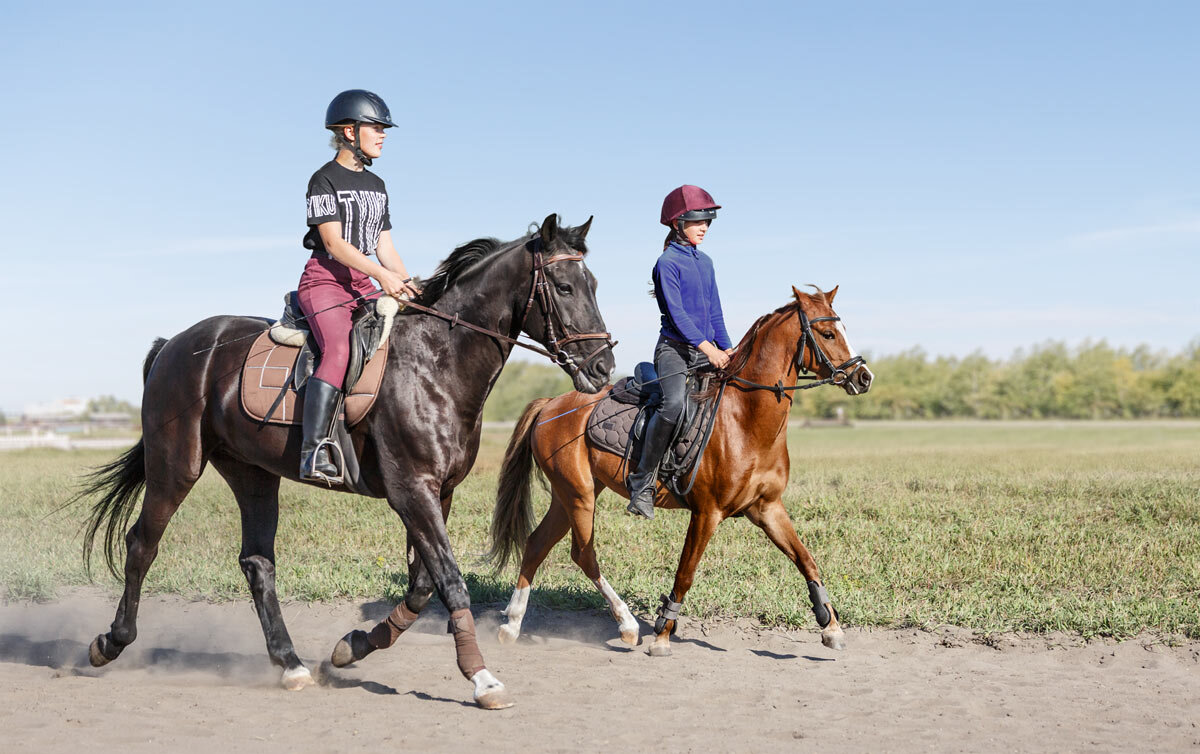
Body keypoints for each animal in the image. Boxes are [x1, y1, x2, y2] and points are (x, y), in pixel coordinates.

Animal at [79, 214, 614, 710]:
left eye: (594, 285)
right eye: (564, 287)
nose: (602, 367)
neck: (437, 361)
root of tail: (174, 344)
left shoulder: (439, 492)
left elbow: (423, 586)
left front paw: (351, 647)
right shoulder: (411, 489)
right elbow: (451, 582)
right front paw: (481, 678)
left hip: (252, 473)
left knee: (257, 563)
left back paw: (291, 664)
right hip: (177, 465)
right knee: (142, 544)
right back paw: (110, 642)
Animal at [487, 283, 873, 653]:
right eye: (828, 334)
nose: (863, 376)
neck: (745, 419)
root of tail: (552, 404)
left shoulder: (768, 508)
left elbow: (806, 560)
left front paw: (831, 626)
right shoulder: (706, 513)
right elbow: (685, 574)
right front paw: (661, 634)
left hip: (568, 495)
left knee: (537, 544)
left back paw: (512, 625)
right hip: (579, 495)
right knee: (583, 554)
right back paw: (627, 625)